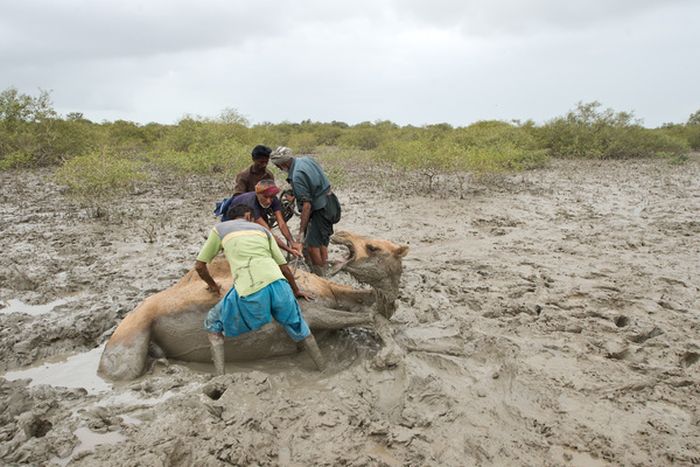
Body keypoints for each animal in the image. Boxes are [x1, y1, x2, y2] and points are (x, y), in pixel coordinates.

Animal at [95, 232, 408, 382]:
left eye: (374, 247)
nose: (340, 233)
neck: (329, 289)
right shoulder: (306, 309)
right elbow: (372, 317)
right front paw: (386, 358)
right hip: (130, 334)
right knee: (120, 371)